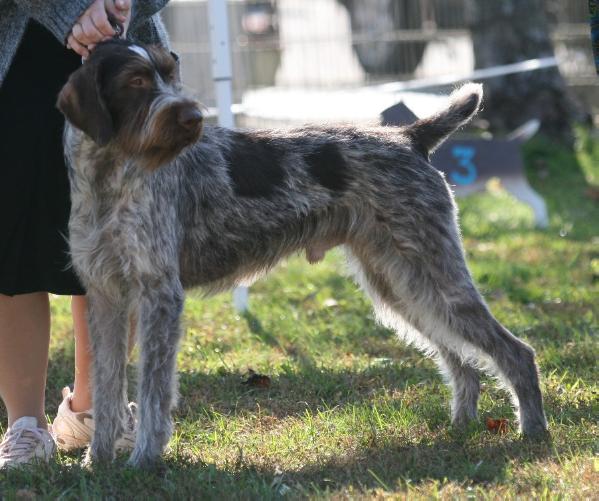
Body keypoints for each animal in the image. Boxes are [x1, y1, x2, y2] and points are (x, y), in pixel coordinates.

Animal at [56, 41, 548, 466]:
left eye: (170, 74)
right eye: (137, 80)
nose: (193, 116)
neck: (110, 176)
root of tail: (409, 137)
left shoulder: (159, 294)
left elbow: (153, 391)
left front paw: (143, 460)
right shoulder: (105, 296)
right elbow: (106, 387)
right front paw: (97, 461)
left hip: (432, 276)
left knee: (516, 352)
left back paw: (532, 431)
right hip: (402, 284)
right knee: (461, 360)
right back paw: (461, 426)